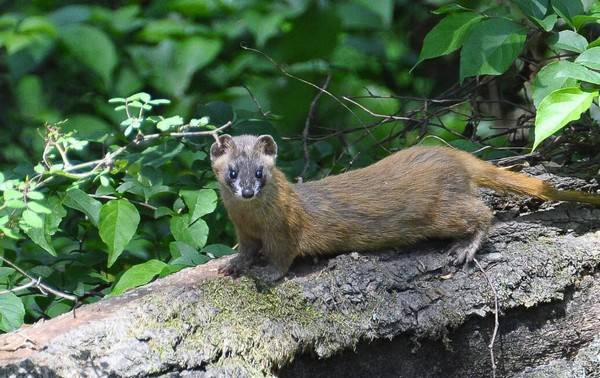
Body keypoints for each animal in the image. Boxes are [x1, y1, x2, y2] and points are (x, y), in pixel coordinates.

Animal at [210, 134, 600, 280]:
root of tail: (454, 155)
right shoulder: (243, 231)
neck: (252, 220)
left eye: (260, 171)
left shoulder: (285, 229)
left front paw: (267, 274)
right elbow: (246, 250)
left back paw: (464, 249)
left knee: (482, 213)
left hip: (442, 210)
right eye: (232, 171)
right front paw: (233, 265)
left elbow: (282, 256)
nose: (247, 191)